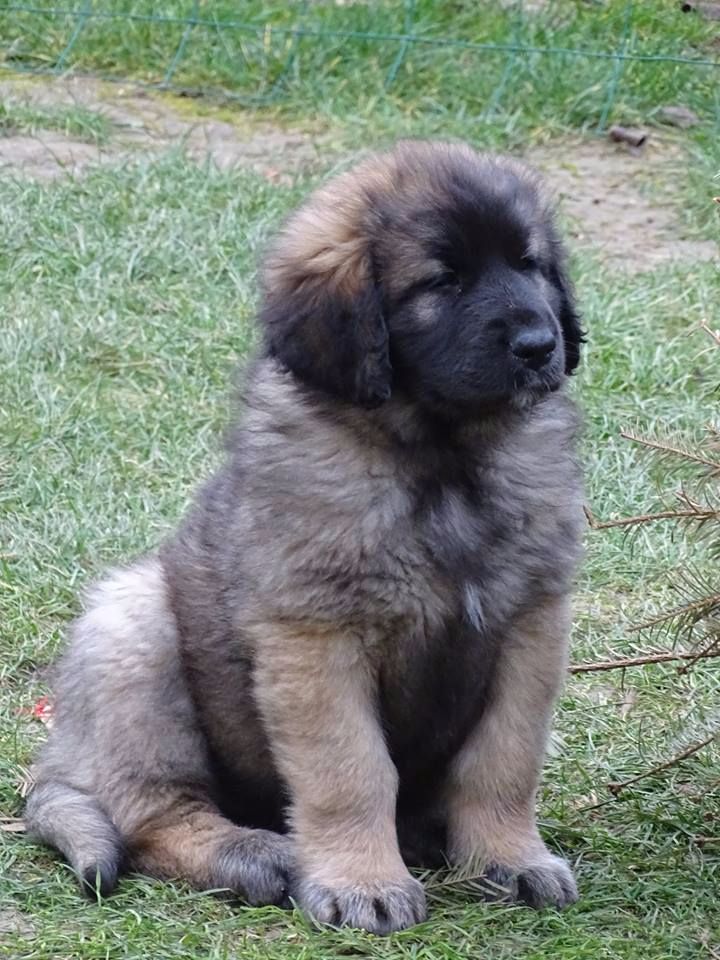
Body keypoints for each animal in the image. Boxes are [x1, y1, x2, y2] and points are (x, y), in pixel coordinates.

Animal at [26, 139, 584, 932]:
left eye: (530, 264)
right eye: (442, 281)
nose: (541, 344)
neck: (441, 457)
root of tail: (63, 759)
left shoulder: (531, 622)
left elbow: (503, 762)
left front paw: (510, 859)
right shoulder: (316, 637)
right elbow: (351, 771)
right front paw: (361, 883)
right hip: (132, 629)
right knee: (150, 817)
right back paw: (259, 854)